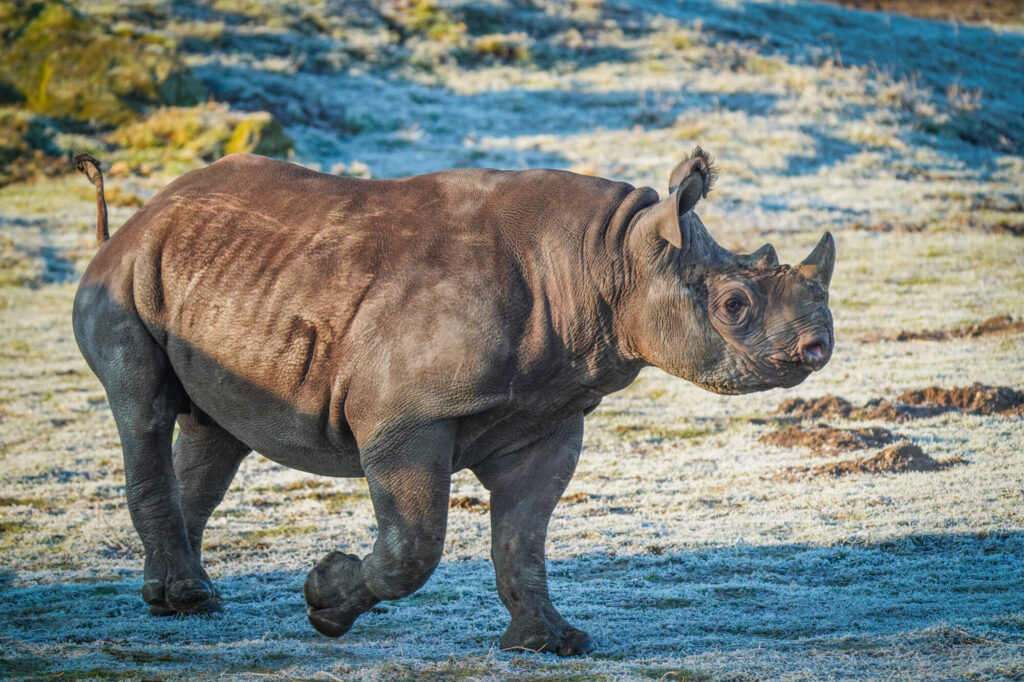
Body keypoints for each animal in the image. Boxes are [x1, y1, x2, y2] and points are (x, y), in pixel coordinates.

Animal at [71, 149, 834, 656]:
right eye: (734, 305)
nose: (818, 348)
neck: (610, 257)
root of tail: (136, 219)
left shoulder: (548, 416)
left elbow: (522, 536)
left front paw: (549, 643)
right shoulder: (408, 417)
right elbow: (414, 547)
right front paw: (323, 603)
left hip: (213, 277)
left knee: (215, 435)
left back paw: (179, 604)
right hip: (127, 275)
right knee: (141, 408)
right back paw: (187, 597)